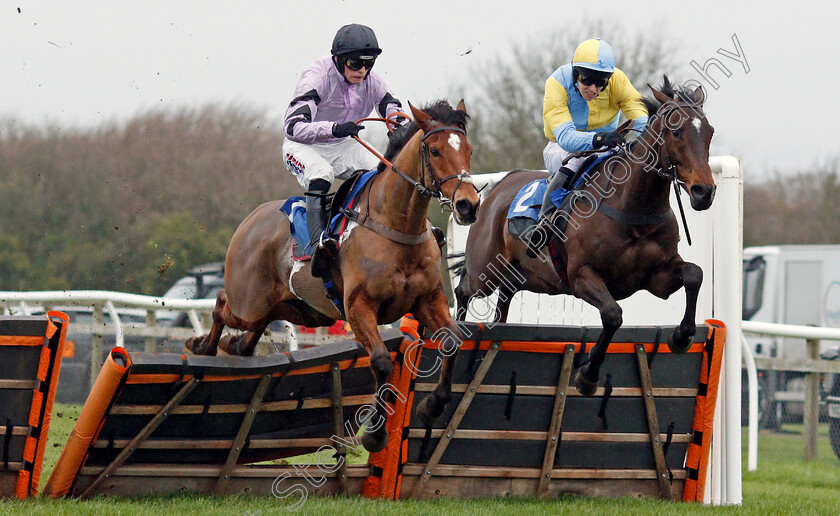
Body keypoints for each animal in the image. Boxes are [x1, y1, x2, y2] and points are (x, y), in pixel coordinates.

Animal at [188, 100, 482, 452]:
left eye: (469, 149)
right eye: (435, 151)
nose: (468, 205)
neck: (396, 225)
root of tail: (250, 221)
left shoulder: (428, 299)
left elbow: (453, 341)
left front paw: (431, 406)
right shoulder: (359, 307)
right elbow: (381, 361)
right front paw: (374, 435)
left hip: (302, 311)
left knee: (249, 331)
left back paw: (231, 347)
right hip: (249, 303)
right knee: (221, 304)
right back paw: (202, 346)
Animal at [450, 78, 720, 398]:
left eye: (709, 132)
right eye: (676, 132)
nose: (704, 191)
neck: (632, 206)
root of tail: (499, 186)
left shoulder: (658, 277)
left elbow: (694, 274)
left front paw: (681, 336)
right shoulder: (581, 276)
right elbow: (613, 314)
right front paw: (588, 374)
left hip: (519, 278)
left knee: (501, 307)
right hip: (485, 273)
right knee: (463, 290)